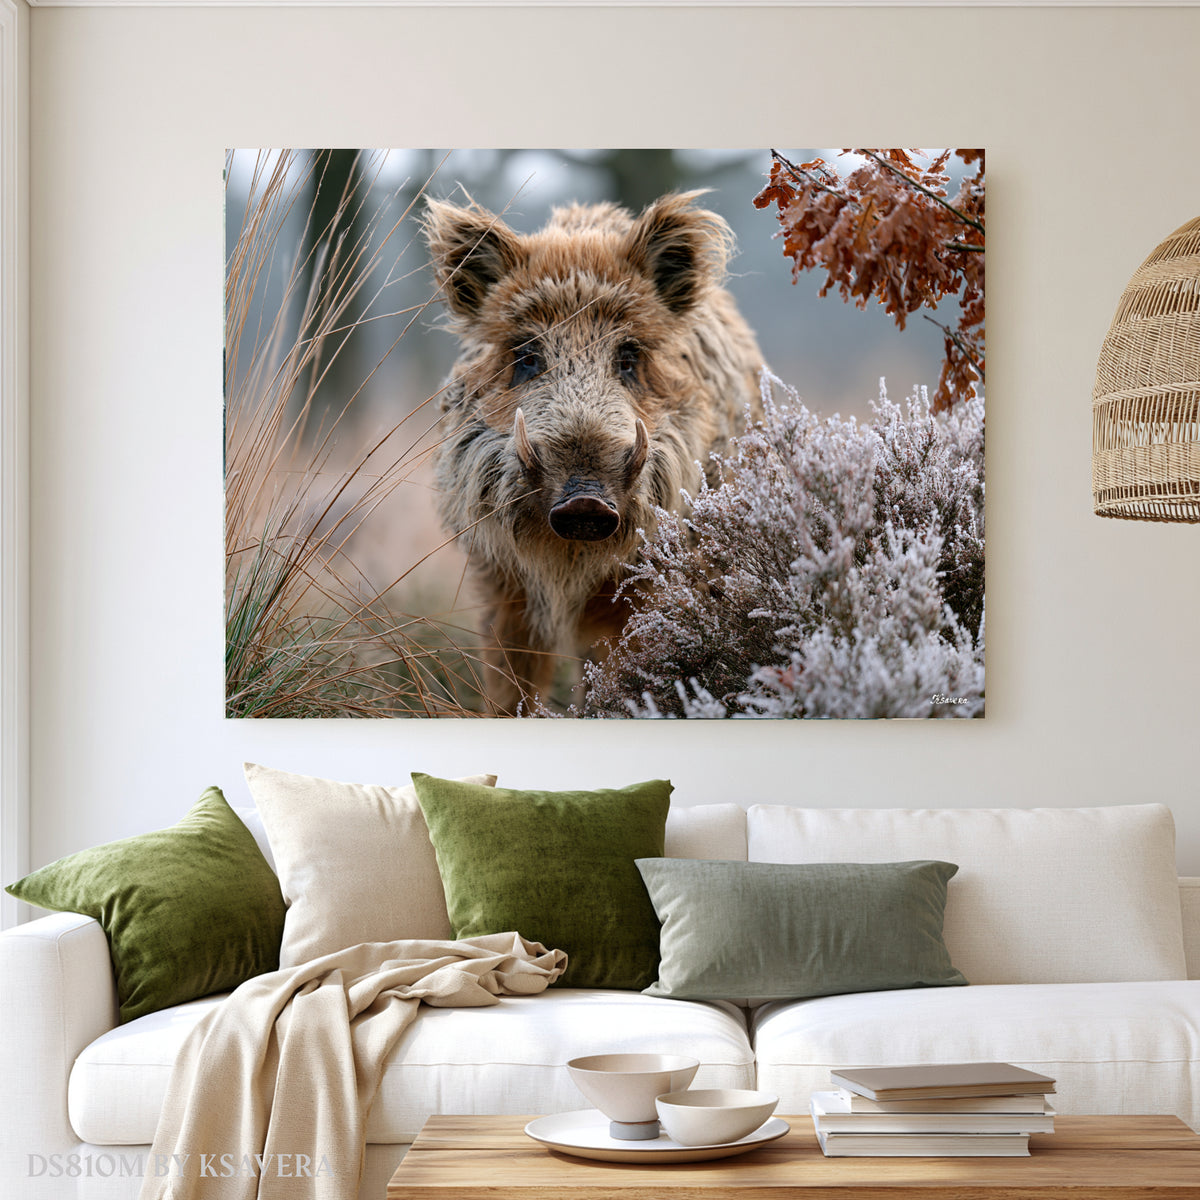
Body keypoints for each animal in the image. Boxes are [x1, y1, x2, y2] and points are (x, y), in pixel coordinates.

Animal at [423, 190, 764, 714]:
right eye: (527, 355)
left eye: (629, 355)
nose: (585, 500)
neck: (570, 566)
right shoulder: (499, 579)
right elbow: (510, 678)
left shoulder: (650, 582)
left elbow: (624, 670)